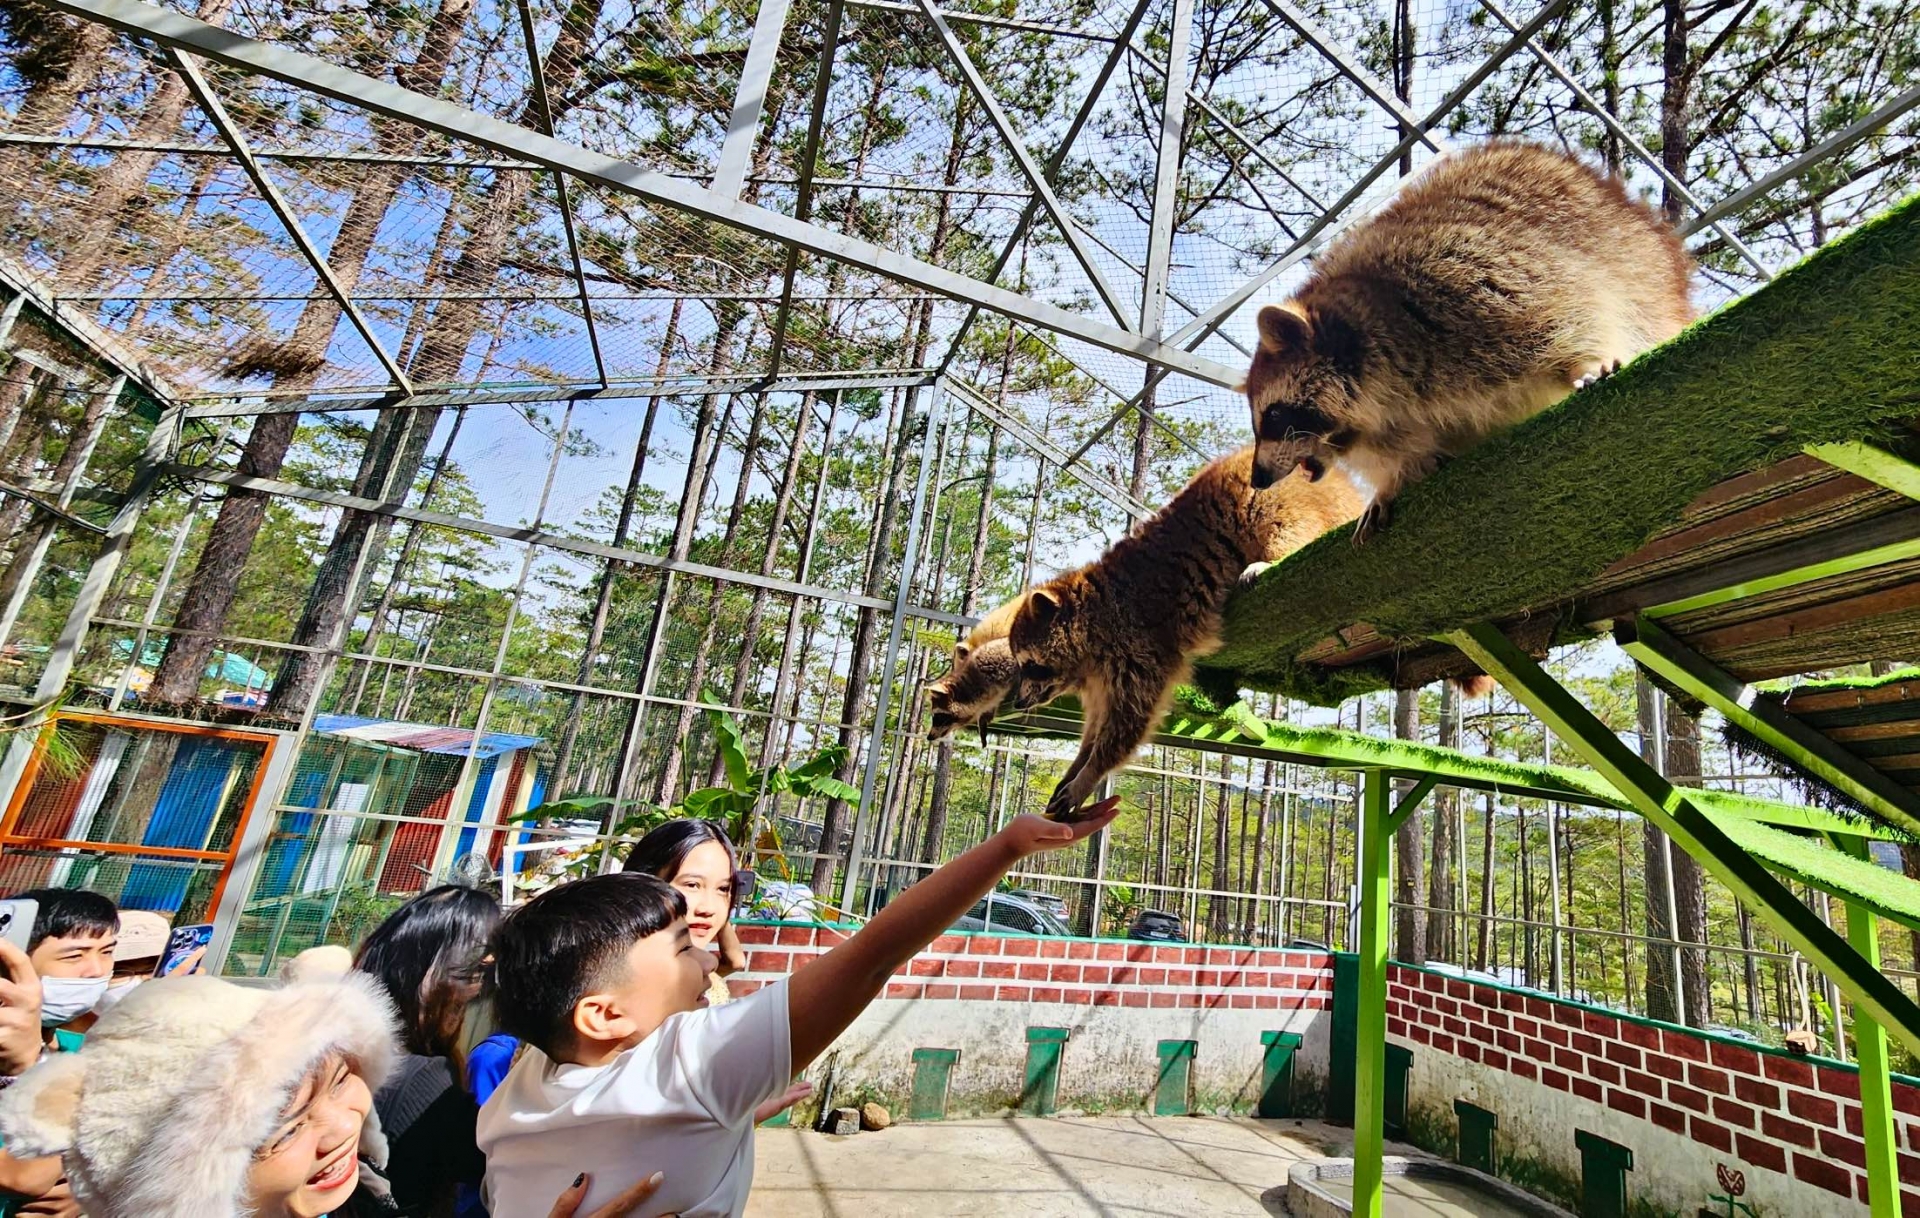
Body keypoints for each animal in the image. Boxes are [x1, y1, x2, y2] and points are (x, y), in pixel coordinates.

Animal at [1006, 443, 1367, 814]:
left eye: (1029, 664)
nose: (1018, 702)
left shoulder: (1139, 647)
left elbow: (1126, 727)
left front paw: (1090, 773)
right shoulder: (1101, 677)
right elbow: (1094, 729)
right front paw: (1077, 766)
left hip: (1285, 500)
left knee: (1287, 528)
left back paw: (1267, 560)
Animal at [1236, 138, 1689, 541]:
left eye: (1273, 415)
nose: (1258, 478)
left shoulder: (1465, 285)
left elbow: (1570, 315)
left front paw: (1587, 361)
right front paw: (1393, 479)